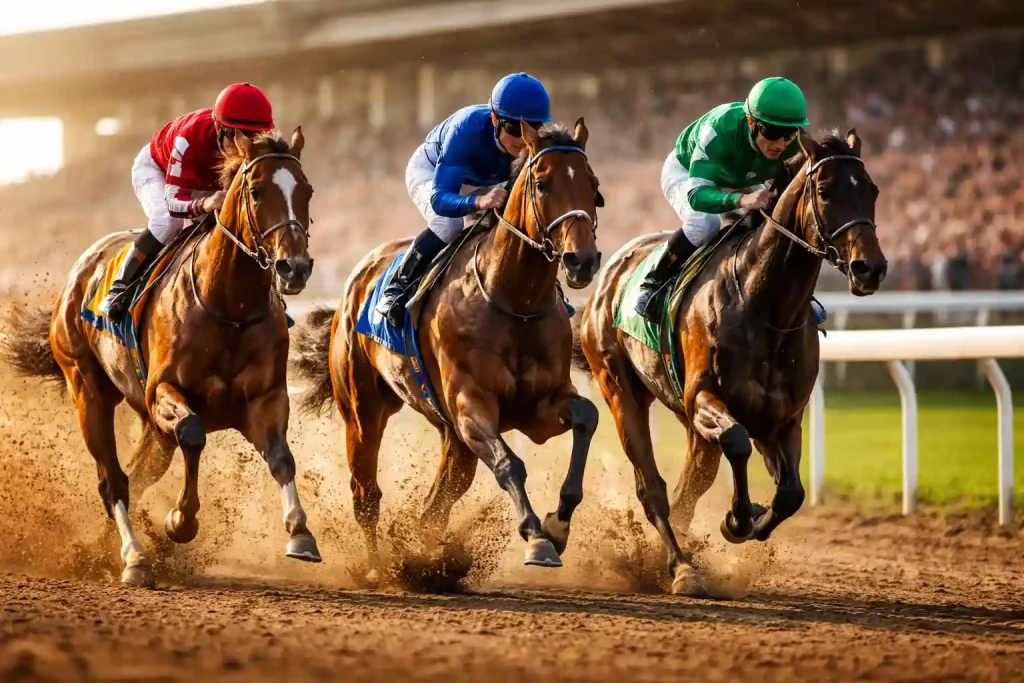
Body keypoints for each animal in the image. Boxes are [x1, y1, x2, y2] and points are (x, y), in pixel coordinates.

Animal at [1, 128, 322, 588]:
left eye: (306, 190)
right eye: (257, 192)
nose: (294, 267)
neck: (230, 307)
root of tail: (80, 270)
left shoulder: (265, 398)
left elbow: (282, 458)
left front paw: (300, 533)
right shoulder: (163, 393)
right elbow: (193, 433)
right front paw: (180, 521)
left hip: (151, 429)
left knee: (136, 476)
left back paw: (104, 550)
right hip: (87, 390)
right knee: (113, 481)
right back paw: (134, 557)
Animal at [293, 119, 602, 580]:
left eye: (593, 185)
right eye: (543, 184)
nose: (582, 260)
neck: (514, 301)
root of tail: (357, 278)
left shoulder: (540, 407)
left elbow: (587, 416)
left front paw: (557, 524)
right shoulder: (471, 405)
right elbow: (510, 464)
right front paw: (536, 538)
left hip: (449, 433)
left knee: (437, 501)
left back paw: (425, 560)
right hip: (364, 411)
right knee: (366, 494)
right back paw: (377, 568)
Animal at [574, 130, 887, 595]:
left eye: (872, 190)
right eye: (826, 191)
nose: (870, 268)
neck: (766, 307)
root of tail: (607, 275)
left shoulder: (783, 419)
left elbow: (791, 493)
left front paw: (753, 519)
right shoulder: (706, 397)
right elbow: (737, 442)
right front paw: (737, 520)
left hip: (688, 420)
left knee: (690, 486)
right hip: (620, 390)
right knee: (654, 489)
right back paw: (681, 568)